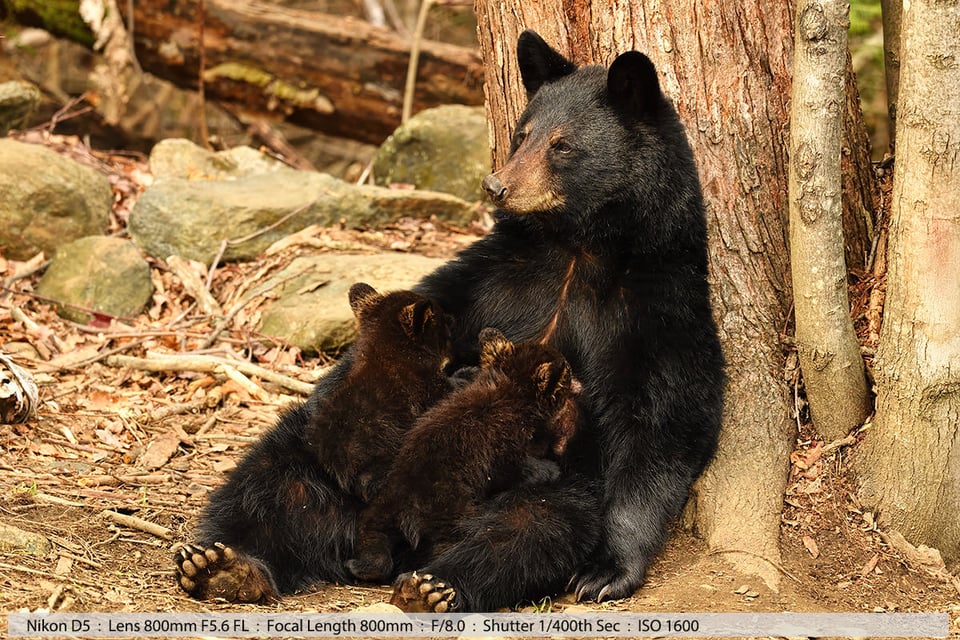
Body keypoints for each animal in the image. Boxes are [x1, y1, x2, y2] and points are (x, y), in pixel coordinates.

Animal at [348, 328, 580, 588]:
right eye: (566, 373)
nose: (573, 374)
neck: (509, 388)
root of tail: (403, 510)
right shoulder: (505, 454)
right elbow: (521, 468)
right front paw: (551, 468)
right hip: (452, 519)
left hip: (378, 511)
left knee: (371, 540)